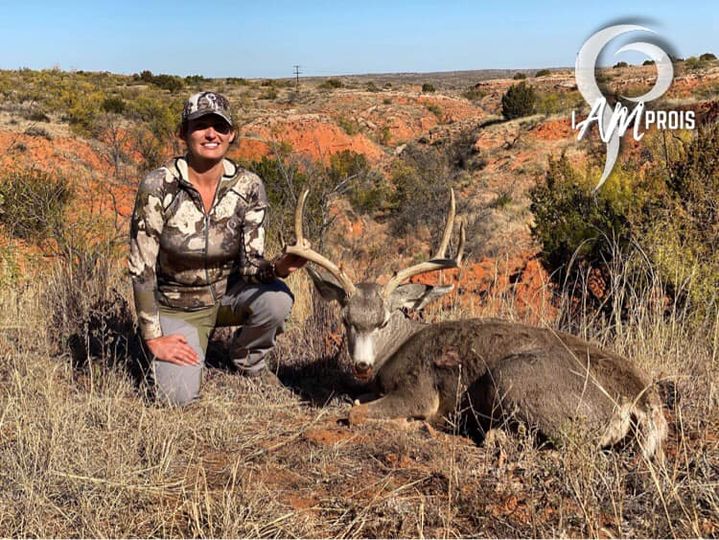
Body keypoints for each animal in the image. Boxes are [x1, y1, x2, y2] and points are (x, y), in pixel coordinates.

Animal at [284, 189, 668, 461]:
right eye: (345, 319)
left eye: (383, 321)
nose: (362, 365)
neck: (396, 350)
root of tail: (644, 403)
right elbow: (355, 400)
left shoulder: (419, 390)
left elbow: (355, 412)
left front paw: (407, 422)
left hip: (512, 376)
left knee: (572, 445)